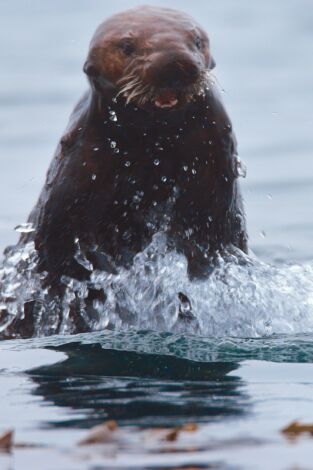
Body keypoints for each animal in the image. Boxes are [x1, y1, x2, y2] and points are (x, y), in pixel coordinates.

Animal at [8, 3, 246, 334]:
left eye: (197, 41)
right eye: (127, 47)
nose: (175, 60)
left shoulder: (214, 159)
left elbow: (209, 238)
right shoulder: (77, 174)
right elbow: (62, 255)